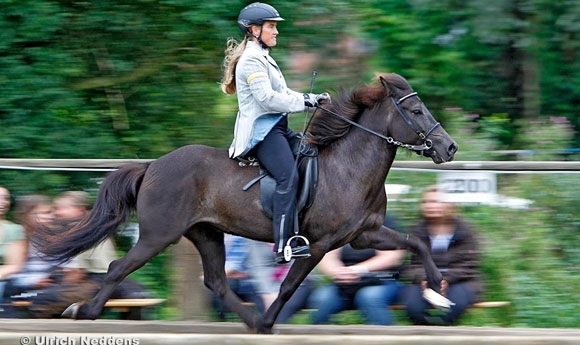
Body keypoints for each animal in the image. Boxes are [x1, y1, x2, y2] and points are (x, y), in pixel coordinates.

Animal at [39, 73, 458, 334]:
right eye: (416, 111)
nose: (449, 147)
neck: (349, 167)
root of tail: (152, 165)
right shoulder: (318, 244)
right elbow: (288, 287)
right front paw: (271, 320)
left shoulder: (364, 235)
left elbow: (416, 243)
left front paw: (437, 289)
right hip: (159, 235)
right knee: (117, 267)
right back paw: (84, 311)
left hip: (205, 233)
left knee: (216, 282)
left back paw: (251, 321)